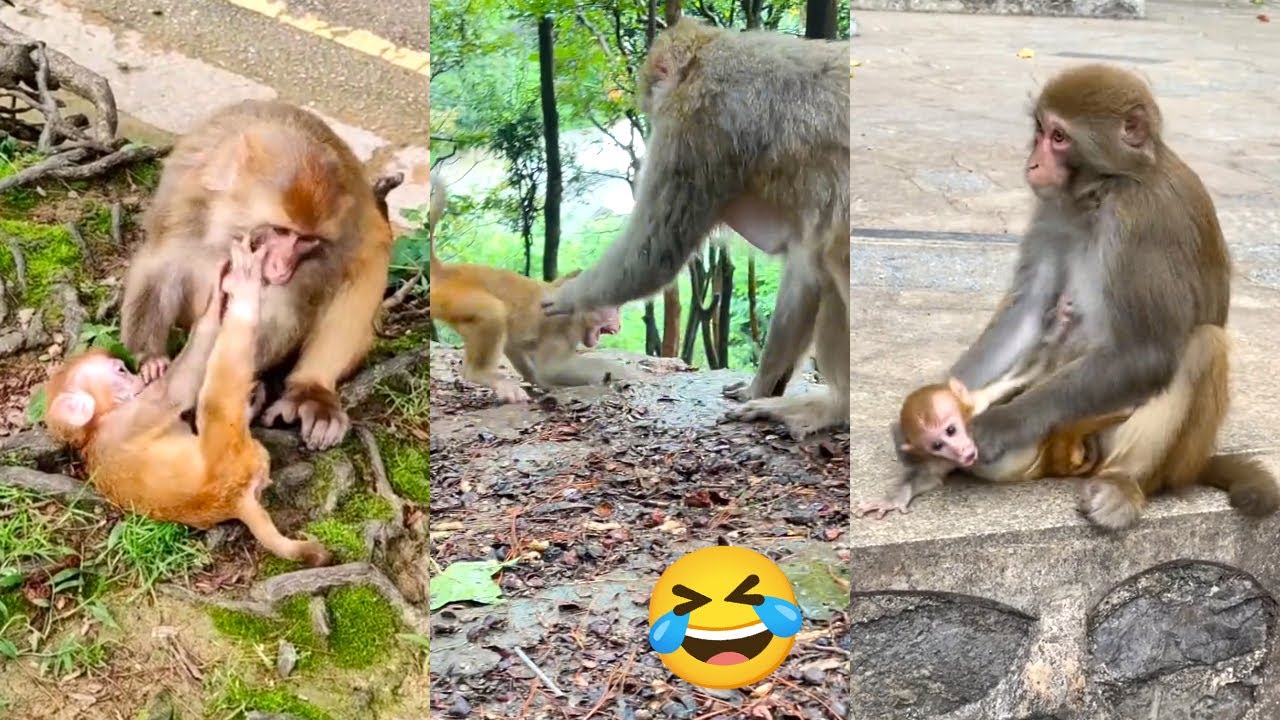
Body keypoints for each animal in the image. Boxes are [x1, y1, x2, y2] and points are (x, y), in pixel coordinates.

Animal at [43, 234, 331, 566]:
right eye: (120, 371)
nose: (135, 378)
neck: (95, 429)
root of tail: (236, 499)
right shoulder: (133, 416)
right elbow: (178, 388)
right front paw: (217, 297)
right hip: (226, 446)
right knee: (217, 389)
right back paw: (243, 292)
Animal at [120, 99, 393, 451]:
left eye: (307, 240)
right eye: (280, 230)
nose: (281, 267)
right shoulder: (182, 204)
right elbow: (161, 266)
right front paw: (150, 359)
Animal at [428, 173, 624, 403]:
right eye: (614, 309)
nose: (618, 323)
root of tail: (445, 271)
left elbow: (519, 351)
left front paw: (539, 383)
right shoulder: (563, 324)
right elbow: (552, 368)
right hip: (452, 297)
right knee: (493, 311)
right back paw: (480, 373)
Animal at [539, 18, 850, 439]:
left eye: (654, 93)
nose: (650, 110)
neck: (705, 58)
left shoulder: (693, 125)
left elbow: (653, 252)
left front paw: (565, 297)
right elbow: (804, 272)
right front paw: (759, 385)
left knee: (837, 252)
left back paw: (836, 406)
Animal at [937, 63, 1278, 529]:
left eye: (1059, 137)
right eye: (1040, 130)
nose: (1034, 162)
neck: (1105, 191)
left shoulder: (1143, 224)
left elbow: (1144, 352)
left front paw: (997, 425)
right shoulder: (1054, 209)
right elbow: (1027, 311)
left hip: (1157, 451)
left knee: (1202, 344)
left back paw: (1123, 484)